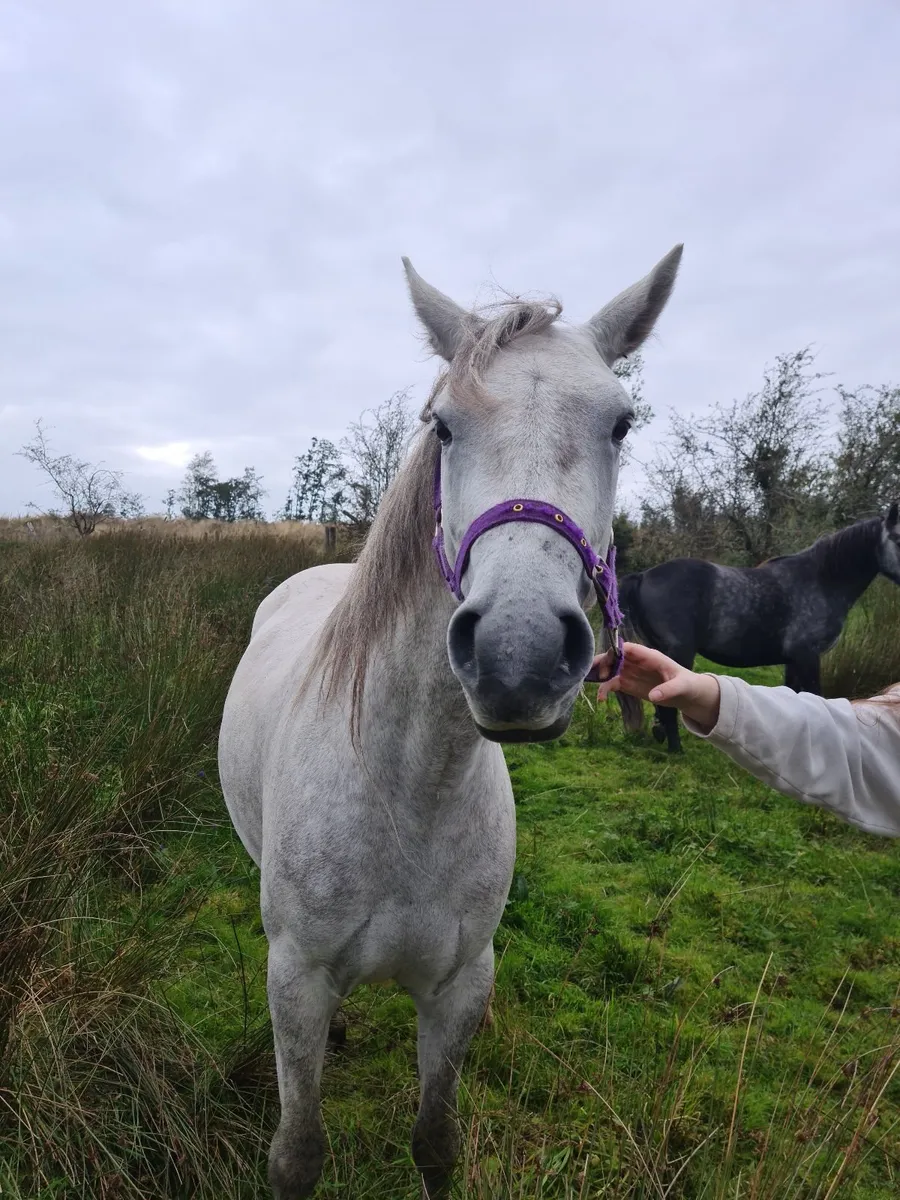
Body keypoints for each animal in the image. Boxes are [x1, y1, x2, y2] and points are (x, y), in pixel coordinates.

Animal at [217, 244, 683, 1198]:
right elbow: (298, 1152)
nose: (518, 652)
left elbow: (436, 1139)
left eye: (622, 424)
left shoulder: (464, 984)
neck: (409, 785)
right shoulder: (296, 978)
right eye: (443, 427)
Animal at [616, 503, 900, 753]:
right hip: (680, 653)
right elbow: (812, 697)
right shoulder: (807, 656)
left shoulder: (794, 660)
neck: (822, 581)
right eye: (897, 538)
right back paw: (676, 749)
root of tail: (644, 576)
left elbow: (795, 699)